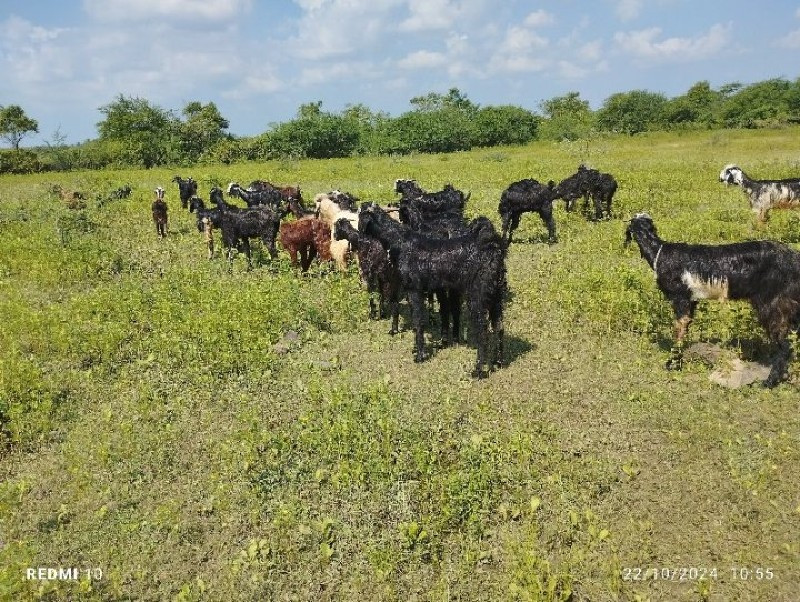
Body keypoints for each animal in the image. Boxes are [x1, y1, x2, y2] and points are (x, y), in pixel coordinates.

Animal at [360, 204, 506, 378]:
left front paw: (420, 355)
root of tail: (493, 250)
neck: (400, 241)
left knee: (482, 332)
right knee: (499, 327)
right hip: (496, 297)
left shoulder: (414, 291)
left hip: (477, 298)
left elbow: (418, 322)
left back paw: (479, 370)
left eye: (360, 217)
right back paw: (498, 361)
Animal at [624, 213, 800, 386]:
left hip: (774, 303)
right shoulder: (692, 300)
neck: (659, 253)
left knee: (784, 344)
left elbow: (678, 330)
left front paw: (673, 364)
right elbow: (685, 326)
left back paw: (769, 382)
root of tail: (794, 259)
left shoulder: (681, 297)